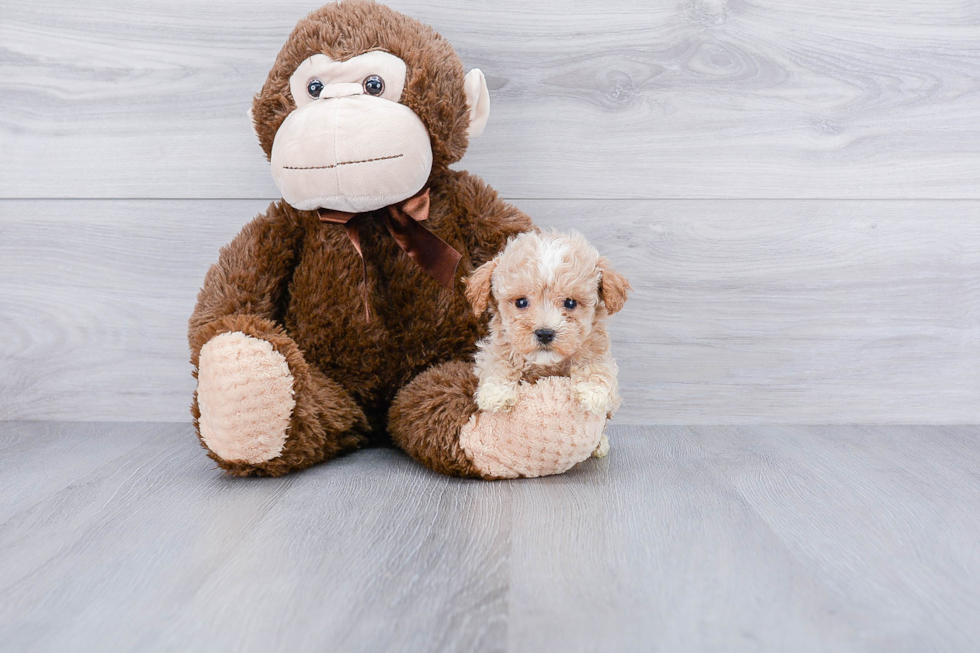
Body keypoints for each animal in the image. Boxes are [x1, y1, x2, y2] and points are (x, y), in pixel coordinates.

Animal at [466, 229, 632, 454]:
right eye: (521, 302)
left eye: (570, 303)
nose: (545, 333)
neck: (546, 364)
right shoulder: (496, 347)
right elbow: (498, 362)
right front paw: (497, 392)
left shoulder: (595, 348)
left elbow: (595, 365)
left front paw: (592, 391)